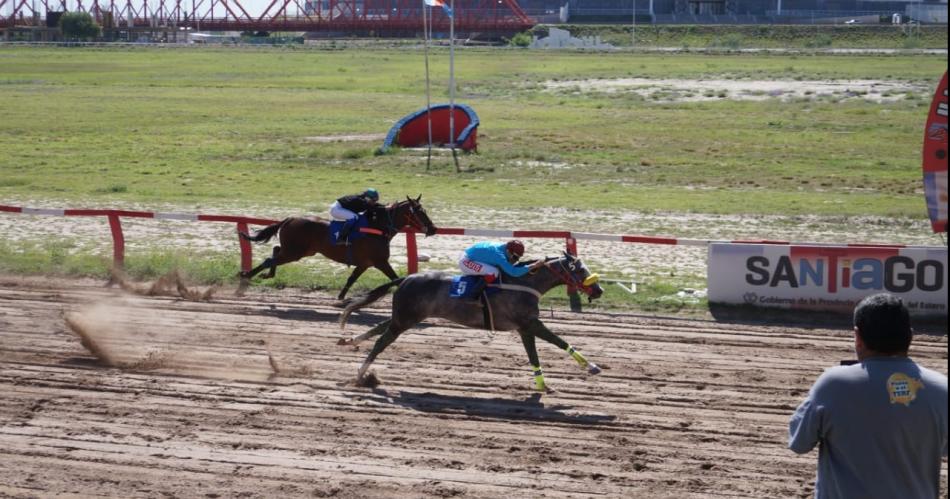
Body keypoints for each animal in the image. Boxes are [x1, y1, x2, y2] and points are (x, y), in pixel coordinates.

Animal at [238, 196, 438, 298]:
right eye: (420, 212)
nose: (433, 229)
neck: (378, 227)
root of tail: (290, 218)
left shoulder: (365, 263)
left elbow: (351, 278)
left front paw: (341, 298)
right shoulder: (380, 261)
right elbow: (396, 279)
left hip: (302, 250)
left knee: (275, 251)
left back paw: (265, 274)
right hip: (295, 251)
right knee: (270, 259)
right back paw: (247, 276)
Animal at [338, 254, 608, 394]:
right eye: (580, 270)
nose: (599, 290)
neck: (525, 283)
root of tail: (406, 278)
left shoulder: (525, 328)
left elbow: (534, 356)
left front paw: (543, 386)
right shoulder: (530, 323)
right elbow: (559, 341)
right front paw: (592, 366)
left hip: (407, 317)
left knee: (381, 327)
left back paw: (349, 341)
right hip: (405, 318)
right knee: (382, 341)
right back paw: (361, 374)